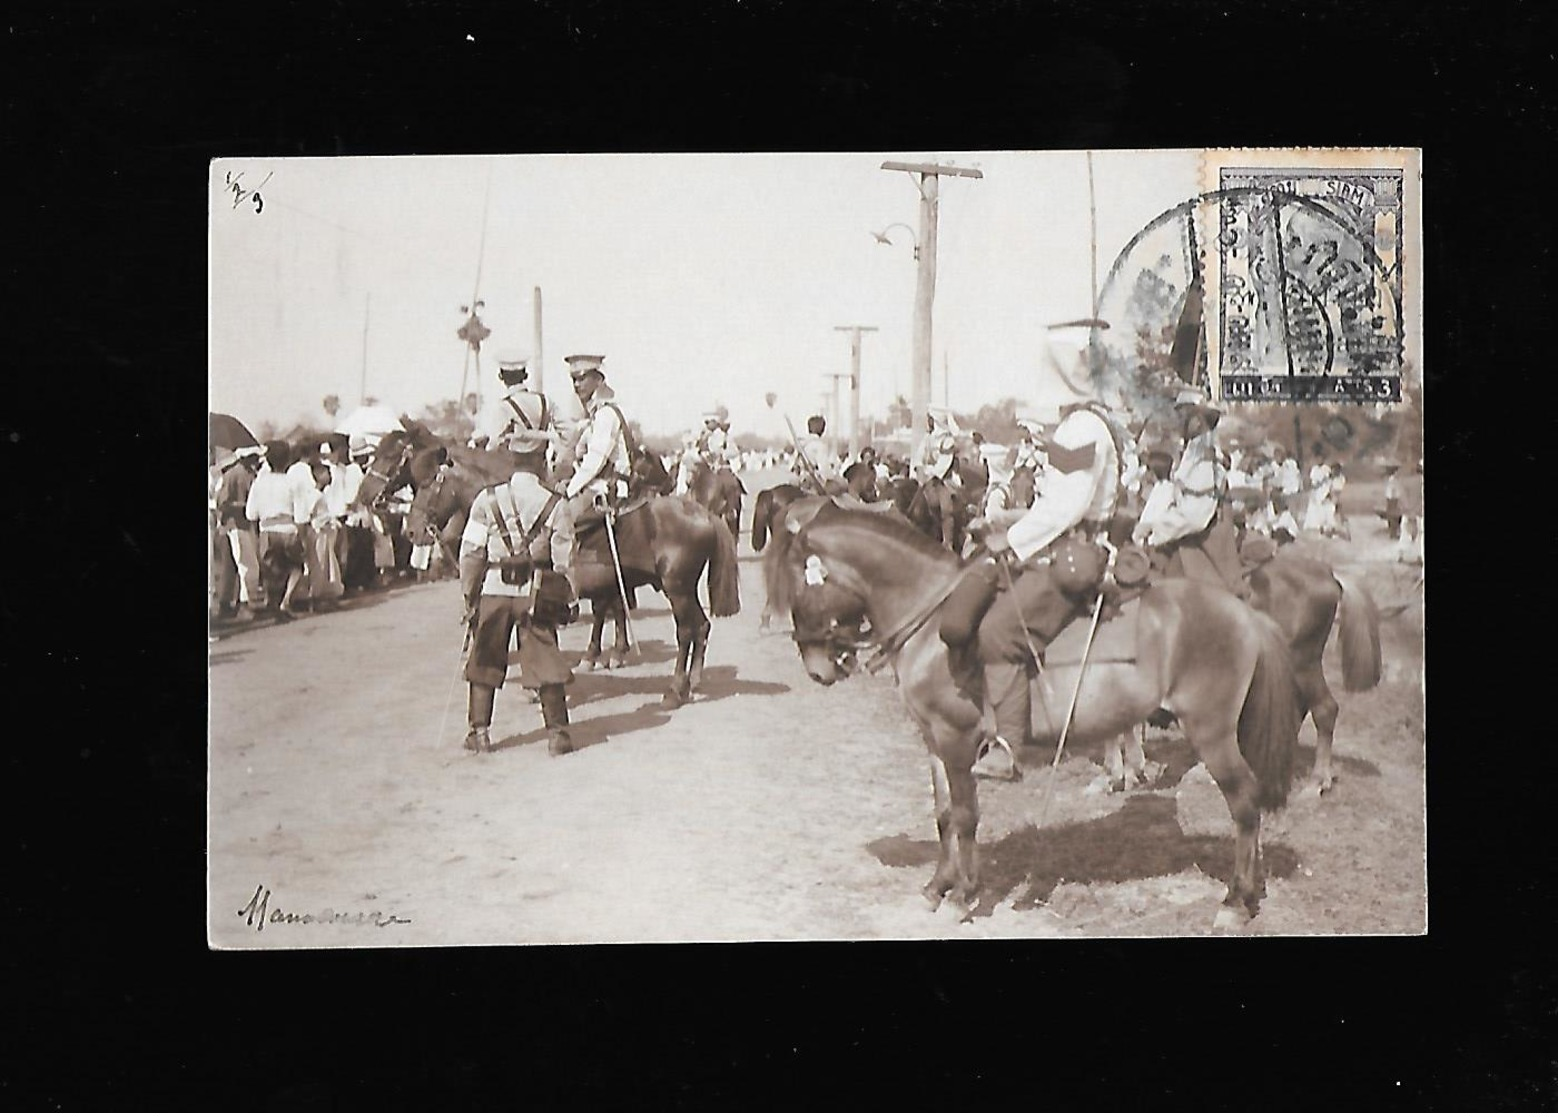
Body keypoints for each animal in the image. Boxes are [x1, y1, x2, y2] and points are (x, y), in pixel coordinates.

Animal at [766, 501, 1302, 928]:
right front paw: (938, 887)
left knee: (1244, 803)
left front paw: (963, 895)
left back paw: (1235, 901)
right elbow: (943, 815)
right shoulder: (932, 738)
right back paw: (1250, 891)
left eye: (796, 583)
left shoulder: (956, 739)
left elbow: (965, 815)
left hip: (1212, 732)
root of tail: (1244, 612)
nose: (817, 667)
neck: (931, 623)